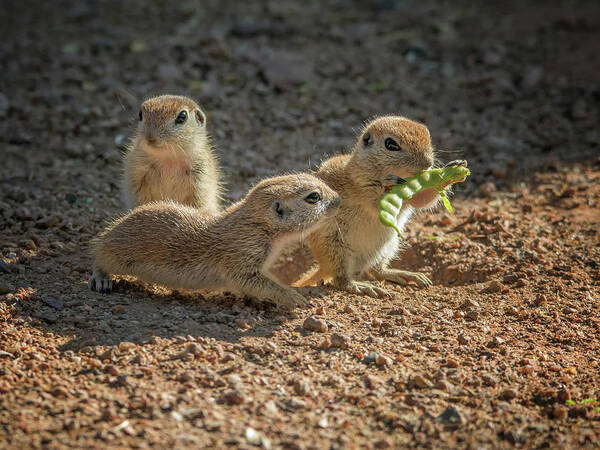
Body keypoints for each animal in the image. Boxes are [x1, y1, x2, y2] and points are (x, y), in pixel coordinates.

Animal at [90, 173, 342, 310]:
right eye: (313, 197)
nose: (339, 199)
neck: (257, 225)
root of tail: (110, 232)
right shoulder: (243, 253)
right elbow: (254, 281)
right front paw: (294, 297)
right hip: (114, 255)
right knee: (98, 260)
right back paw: (101, 279)